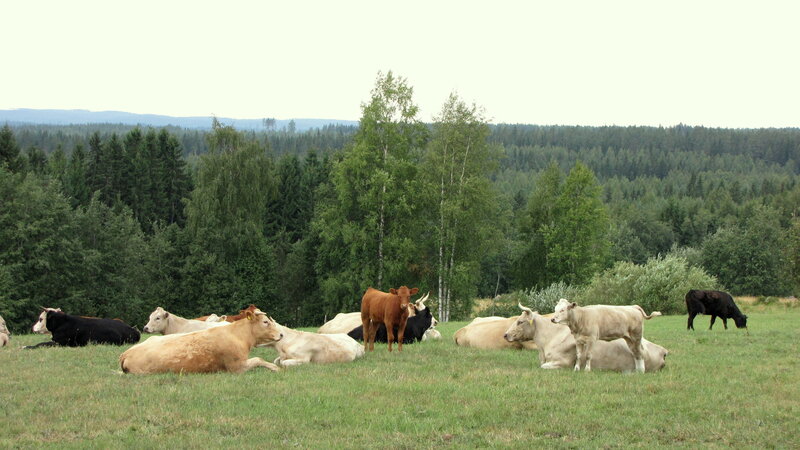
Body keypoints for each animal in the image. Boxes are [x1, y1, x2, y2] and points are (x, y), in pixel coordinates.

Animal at [119, 310, 284, 374]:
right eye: (265, 322)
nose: (281, 334)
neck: (238, 335)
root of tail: (126, 354)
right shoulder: (236, 367)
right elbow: (258, 359)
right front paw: (276, 368)